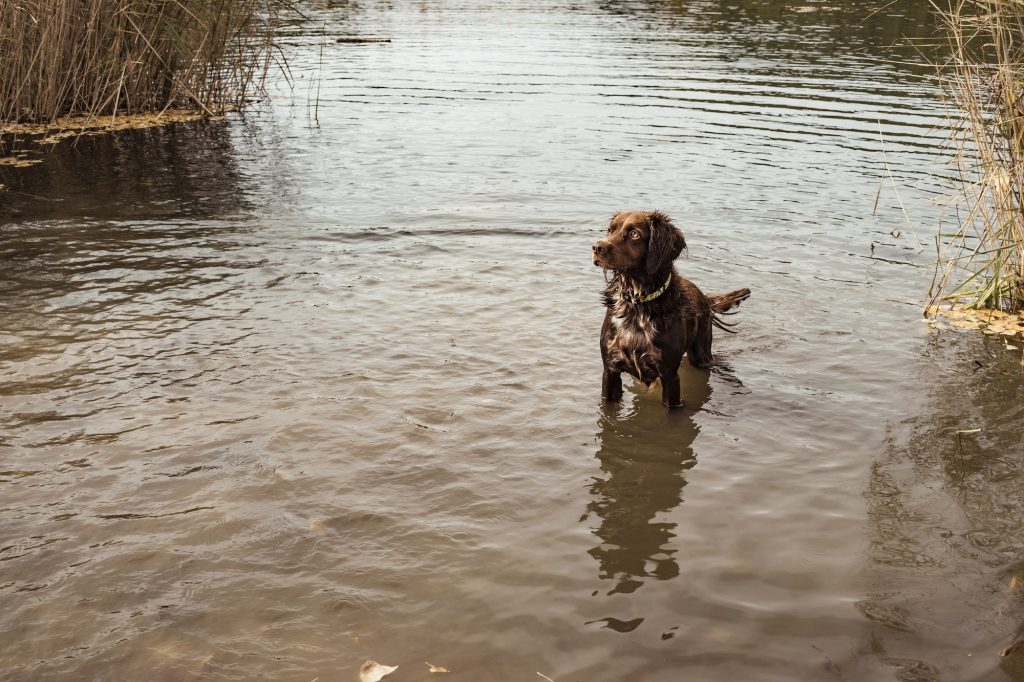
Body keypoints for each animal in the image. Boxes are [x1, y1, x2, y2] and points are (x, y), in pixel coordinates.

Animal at [589, 209, 749, 405]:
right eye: (611, 230)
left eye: (634, 234)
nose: (597, 247)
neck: (638, 305)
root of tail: (703, 295)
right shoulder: (611, 369)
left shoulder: (669, 374)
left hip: (701, 353)